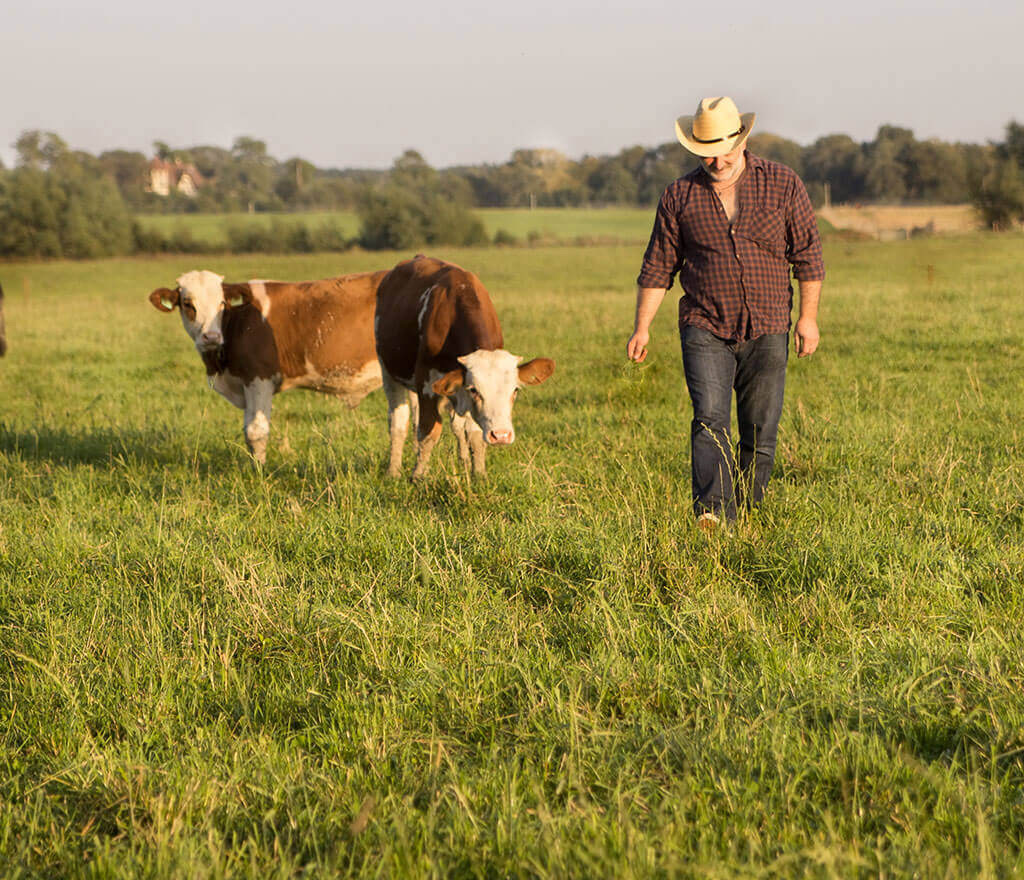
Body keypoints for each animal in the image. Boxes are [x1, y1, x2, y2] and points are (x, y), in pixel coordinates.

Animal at [150, 268, 387, 465]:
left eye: (222, 304)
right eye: (188, 304)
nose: (211, 337)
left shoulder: (259, 378)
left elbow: (256, 431)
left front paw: (259, 472)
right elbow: (247, 429)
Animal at [374, 255, 557, 477]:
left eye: (515, 390)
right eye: (475, 390)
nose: (501, 435)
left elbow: (474, 435)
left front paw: (479, 474)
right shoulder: (426, 382)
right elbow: (428, 431)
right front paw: (418, 476)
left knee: (455, 427)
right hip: (389, 373)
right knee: (398, 423)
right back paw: (393, 471)